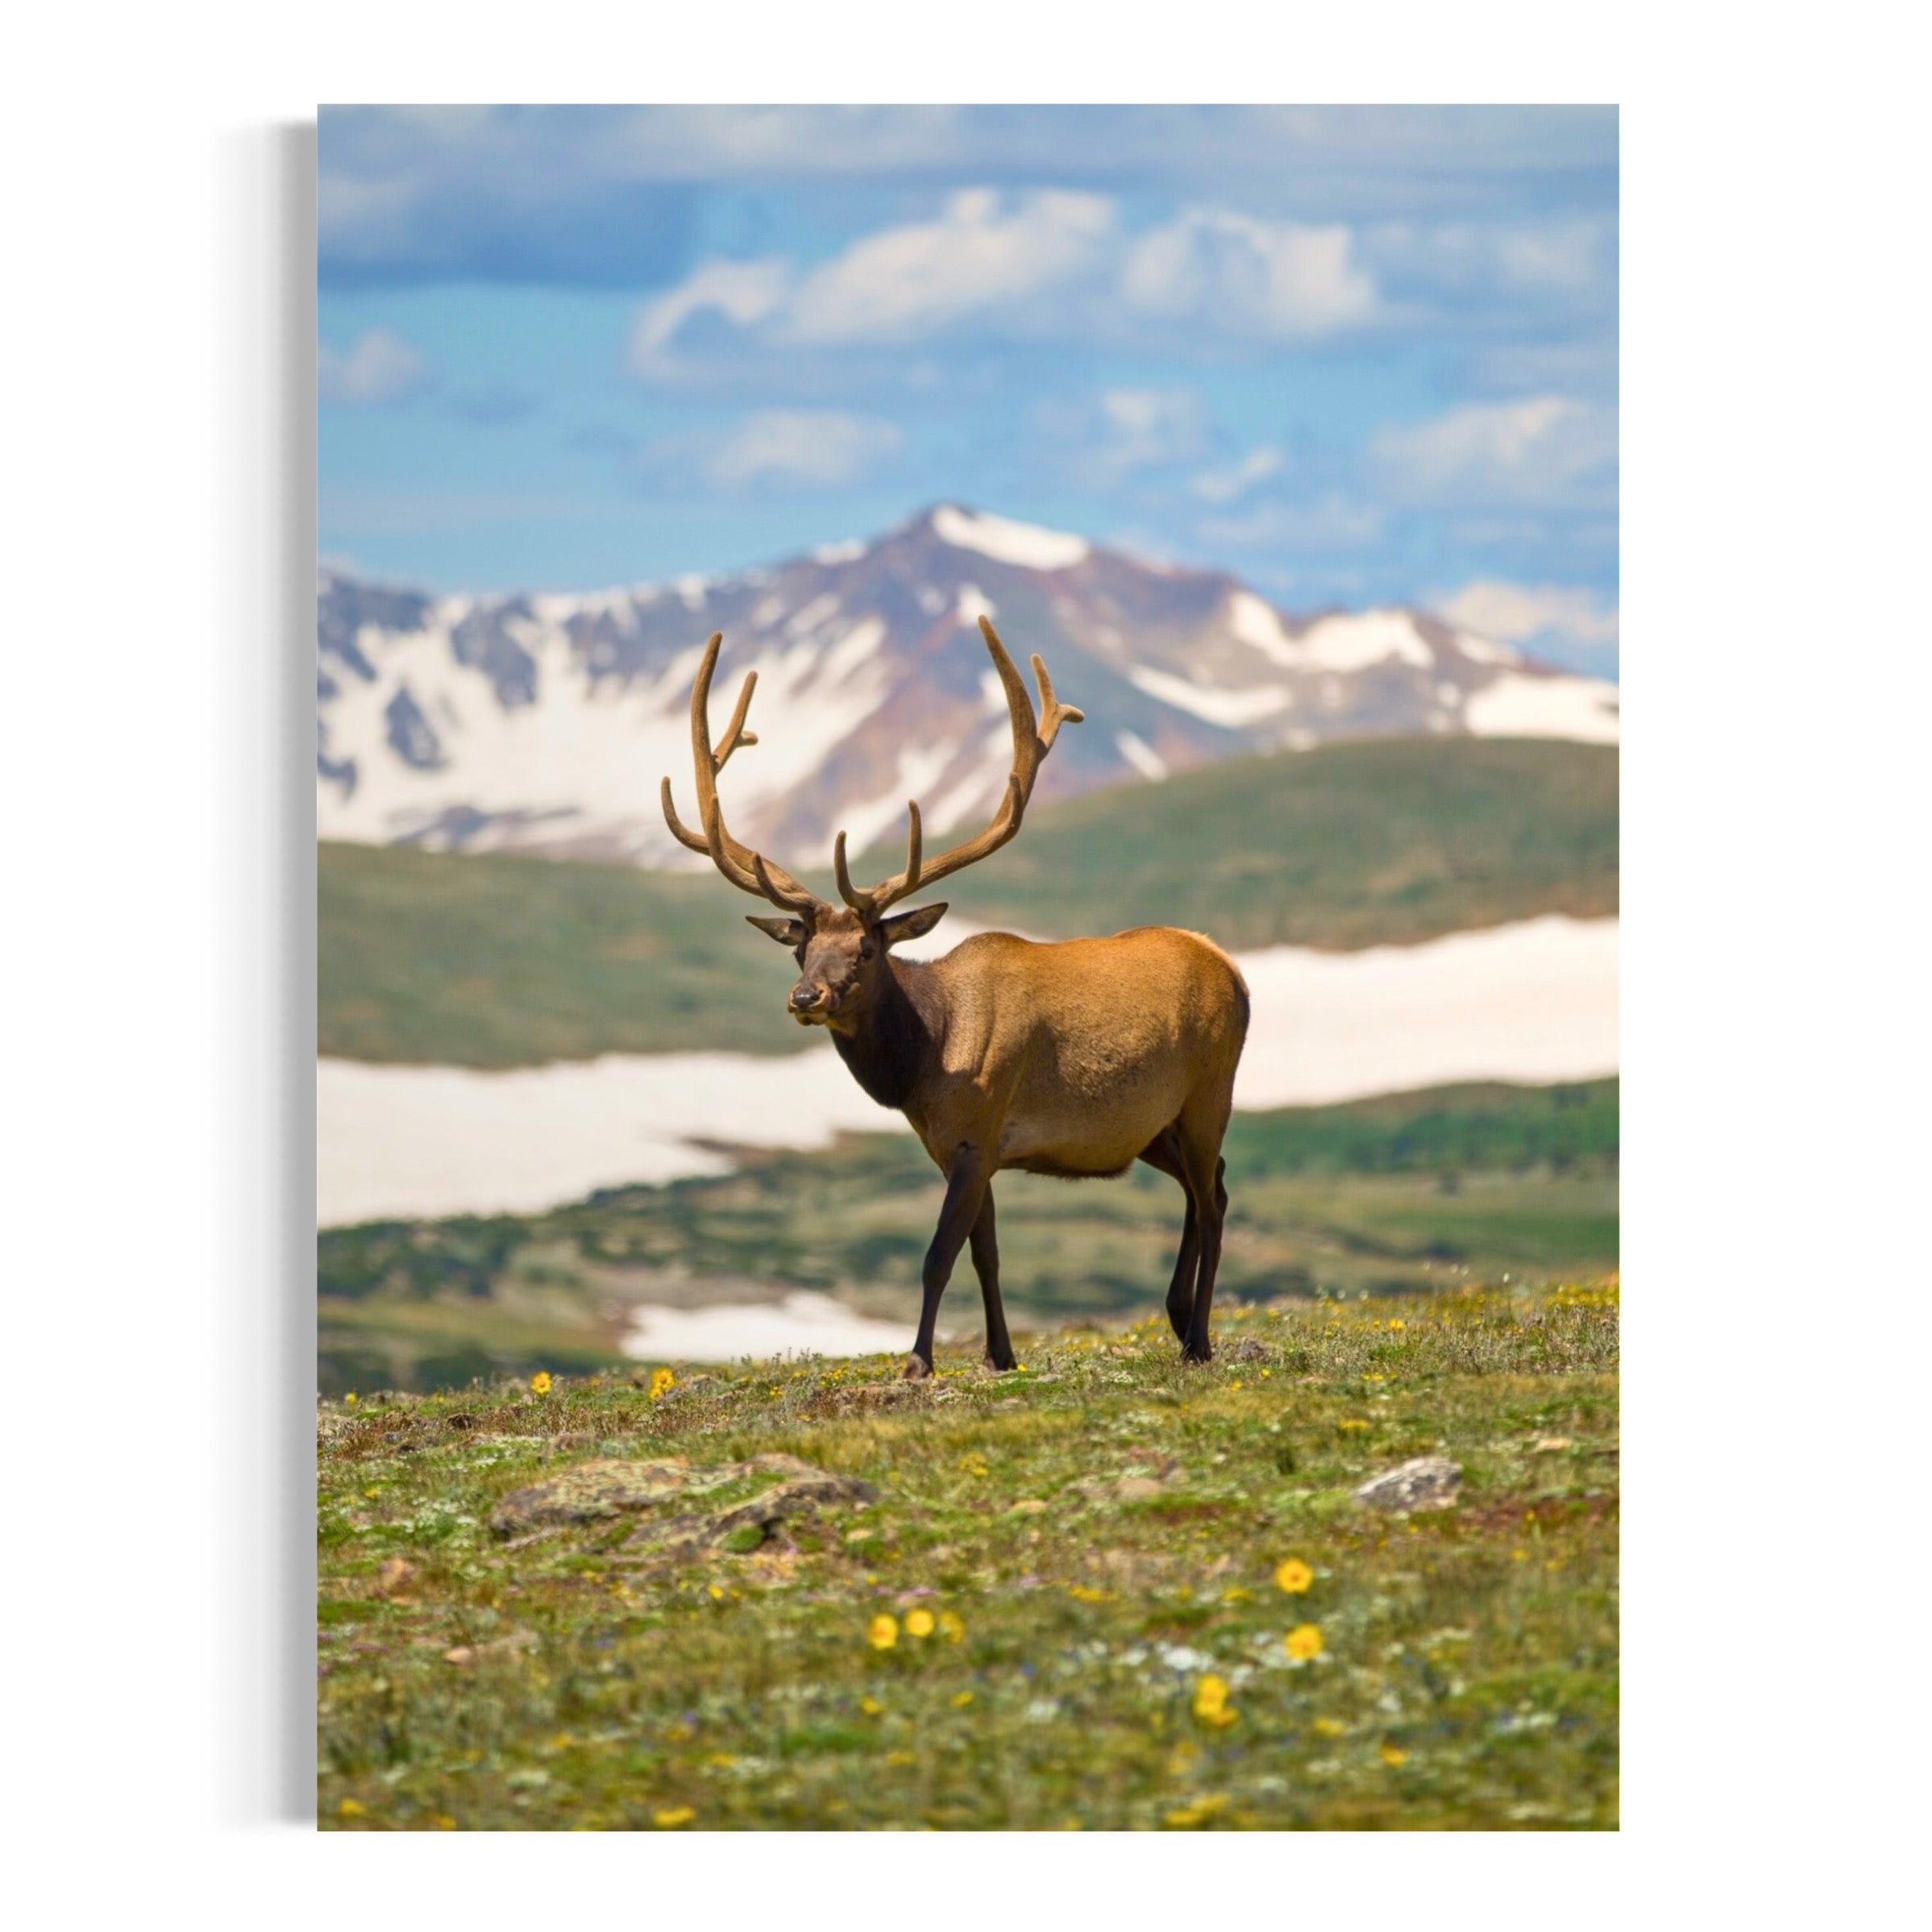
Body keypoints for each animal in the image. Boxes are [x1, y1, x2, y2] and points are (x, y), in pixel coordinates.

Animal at [662, 615, 1250, 1379]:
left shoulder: (977, 1127)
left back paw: (1199, 1338)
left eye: (867, 949)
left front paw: (918, 1361)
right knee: (1211, 1186)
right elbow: (986, 1255)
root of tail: (1231, 968)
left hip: (1210, 1091)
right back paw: (1178, 1319)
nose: (805, 994)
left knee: (1212, 1199)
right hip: (1153, 1125)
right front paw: (1000, 1355)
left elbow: (938, 1255)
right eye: (800, 947)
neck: (925, 1063)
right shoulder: (960, 1146)